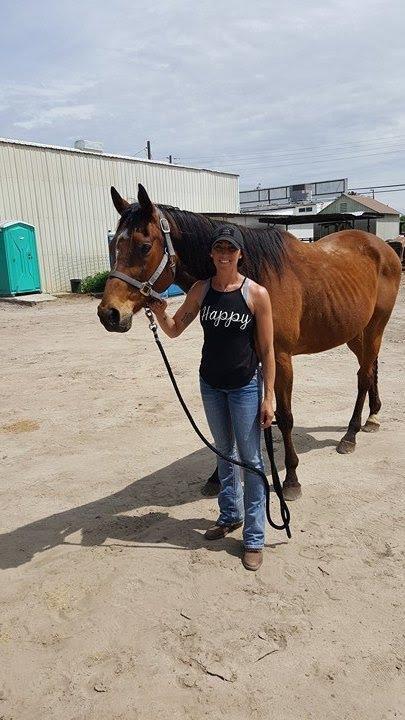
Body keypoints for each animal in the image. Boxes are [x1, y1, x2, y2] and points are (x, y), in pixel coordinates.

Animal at [98, 184, 400, 500]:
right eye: (113, 245)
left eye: (144, 246)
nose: (109, 314)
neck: (258, 275)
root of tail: (384, 247)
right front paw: (218, 476)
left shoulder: (280, 358)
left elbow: (284, 416)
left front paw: (291, 479)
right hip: (355, 332)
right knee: (370, 370)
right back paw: (372, 417)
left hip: (376, 327)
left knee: (364, 376)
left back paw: (351, 434)